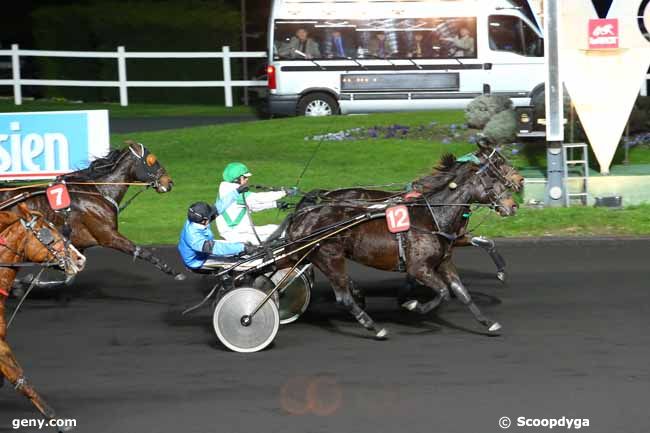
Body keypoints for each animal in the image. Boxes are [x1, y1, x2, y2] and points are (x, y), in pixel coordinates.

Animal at [0, 140, 182, 288]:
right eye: (151, 160)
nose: (168, 182)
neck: (99, 192)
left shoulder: (75, 244)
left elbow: (67, 271)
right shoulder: (108, 236)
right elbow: (142, 252)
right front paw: (174, 272)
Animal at [286, 152, 520, 338]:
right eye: (495, 174)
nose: (513, 204)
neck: (432, 216)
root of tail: (306, 214)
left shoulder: (446, 257)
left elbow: (461, 291)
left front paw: (488, 323)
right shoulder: (420, 266)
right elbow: (443, 291)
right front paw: (412, 304)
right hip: (329, 256)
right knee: (343, 297)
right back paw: (374, 326)